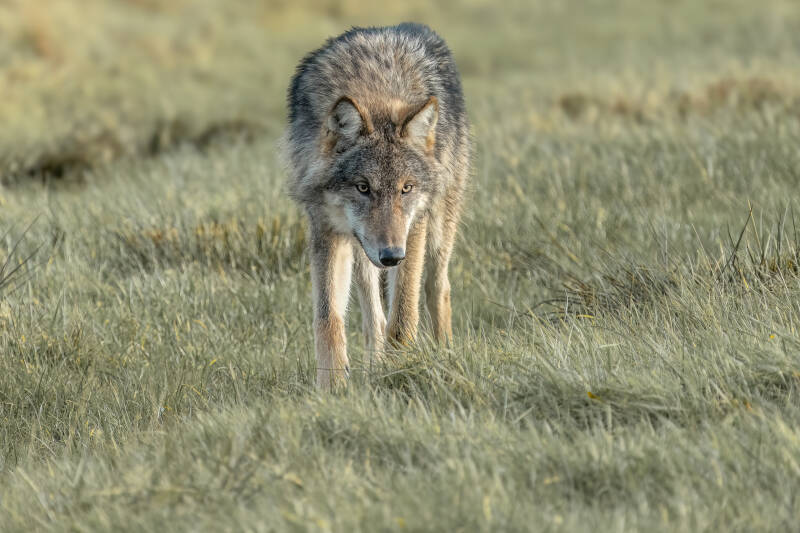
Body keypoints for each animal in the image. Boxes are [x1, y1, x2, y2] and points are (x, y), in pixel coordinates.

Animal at [282, 23, 471, 389]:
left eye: (406, 188)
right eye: (363, 187)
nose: (391, 256)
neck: (375, 86)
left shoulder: (413, 228)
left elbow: (404, 316)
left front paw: (398, 372)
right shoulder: (326, 230)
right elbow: (328, 318)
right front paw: (332, 388)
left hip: (439, 224)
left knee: (437, 288)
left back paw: (444, 352)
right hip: (362, 251)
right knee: (375, 318)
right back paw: (374, 365)